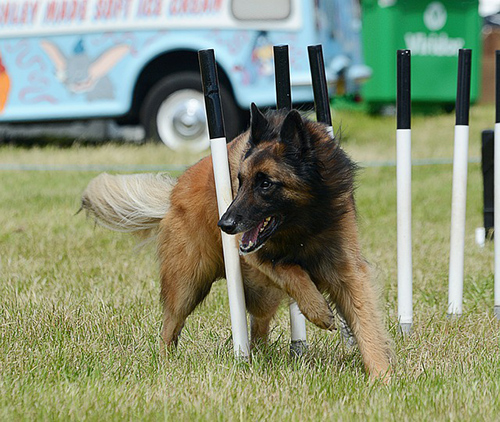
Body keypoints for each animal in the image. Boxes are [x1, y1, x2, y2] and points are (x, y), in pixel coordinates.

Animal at [81, 104, 394, 380]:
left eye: (266, 183)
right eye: (240, 181)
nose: (225, 225)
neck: (303, 223)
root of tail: (174, 192)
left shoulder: (347, 270)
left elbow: (365, 322)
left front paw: (381, 377)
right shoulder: (253, 254)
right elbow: (289, 268)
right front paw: (317, 309)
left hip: (260, 294)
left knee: (258, 329)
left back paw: (261, 356)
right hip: (187, 284)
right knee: (170, 327)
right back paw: (166, 364)